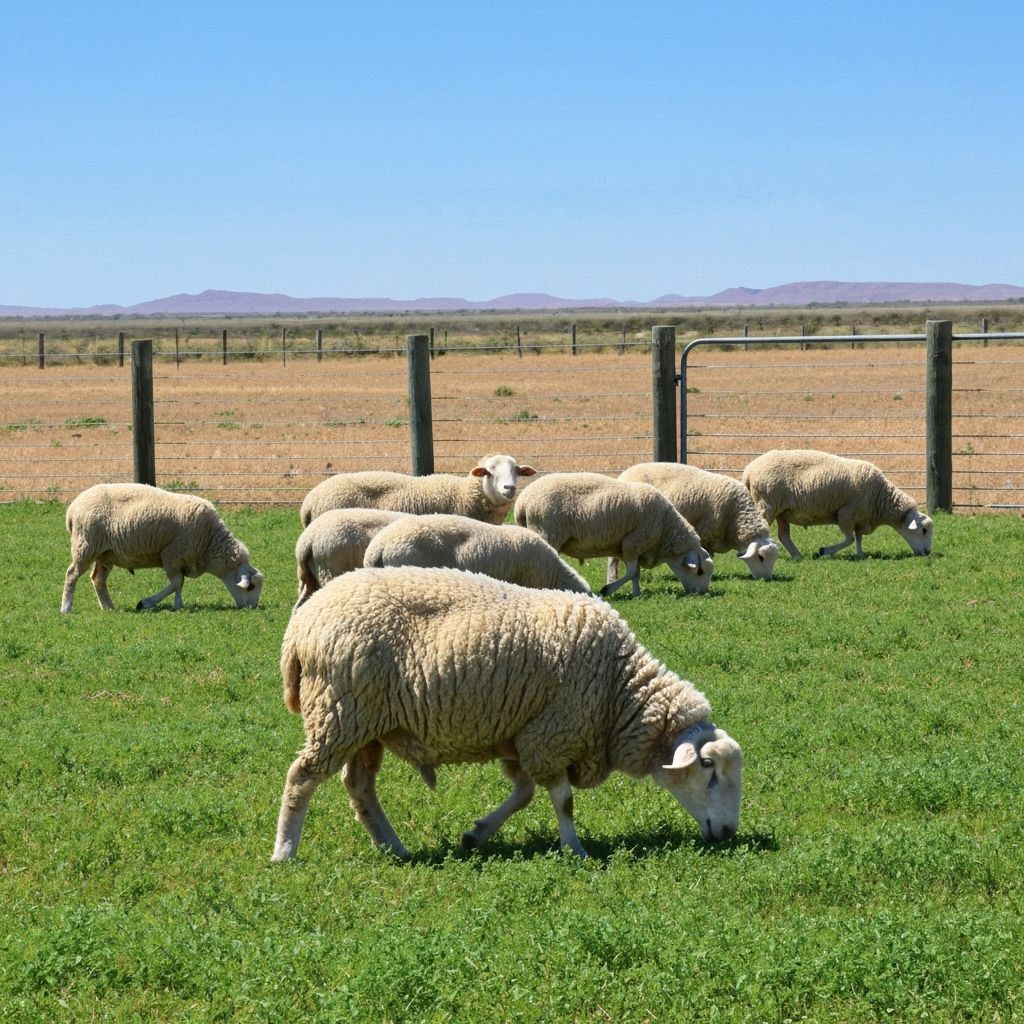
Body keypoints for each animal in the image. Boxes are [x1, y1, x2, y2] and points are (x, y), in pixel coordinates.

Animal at [61, 483, 264, 613]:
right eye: (250, 587)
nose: (252, 608)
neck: (210, 543)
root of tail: (73, 507)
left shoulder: (183, 559)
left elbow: (180, 583)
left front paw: (178, 605)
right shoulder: (171, 555)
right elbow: (176, 583)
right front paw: (145, 603)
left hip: (105, 553)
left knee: (98, 579)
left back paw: (108, 607)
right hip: (86, 545)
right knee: (72, 574)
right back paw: (66, 608)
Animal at [271, 566, 742, 861]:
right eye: (707, 768)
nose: (729, 833)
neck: (619, 689)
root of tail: (299, 629)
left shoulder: (523, 734)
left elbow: (524, 793)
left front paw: (476, 834)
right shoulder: (552, 733)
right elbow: (563, 799)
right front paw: (575, 849)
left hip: (365, 725)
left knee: (360, 787)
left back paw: (394, 848)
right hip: (339, 712)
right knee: (302, 777)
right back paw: (285, 851)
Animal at [512, 471, 713, 597]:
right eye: (700, 571)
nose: (703, 594)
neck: (665, 528)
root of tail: (522, 502)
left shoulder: (629, 546)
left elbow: (635, 573)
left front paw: (636, 594)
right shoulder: (633, 541)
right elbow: (631, 572)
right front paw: (607, 589)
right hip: (547, 532)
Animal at [742, 448, 934, 559]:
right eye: (923, 530)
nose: (927, 553)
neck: (881, 498)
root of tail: (749, 471)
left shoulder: (860, 517)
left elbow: (858, 537)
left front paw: (860, 554)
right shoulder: (846, 513)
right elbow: (849, 539)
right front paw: (824, 551)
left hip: (782, 511)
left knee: (784, 535)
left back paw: (798, 556)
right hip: (766, 504)